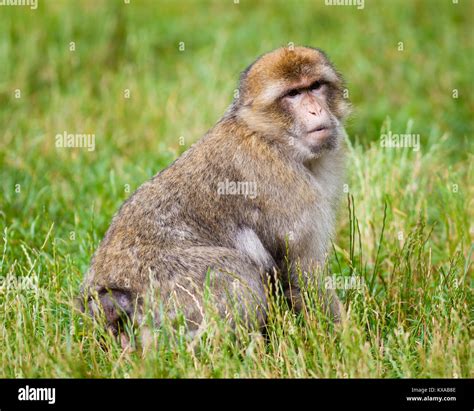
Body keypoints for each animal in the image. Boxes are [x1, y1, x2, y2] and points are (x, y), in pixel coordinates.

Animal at [79, 45, 350, 344]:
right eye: (293, 94)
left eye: (315, 86)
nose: (315, 110)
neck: (270, 137)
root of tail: (107, 295)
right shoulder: (293, 192)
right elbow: (301, 275)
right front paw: (348, 337)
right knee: (235, 271)